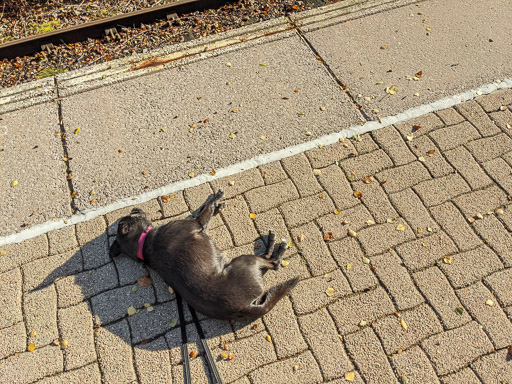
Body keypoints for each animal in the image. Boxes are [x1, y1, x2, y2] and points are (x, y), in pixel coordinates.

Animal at [110, 190, 298, 320]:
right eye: (133, 214)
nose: (134, 207)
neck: (144, 242)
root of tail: (245, 307)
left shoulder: (199, 223)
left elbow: (203, 208)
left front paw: (218, 205)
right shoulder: (197, 223)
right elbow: (207, 208)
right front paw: (218, 198)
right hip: (245, 261)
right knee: (273, 263)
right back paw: (277, 244)